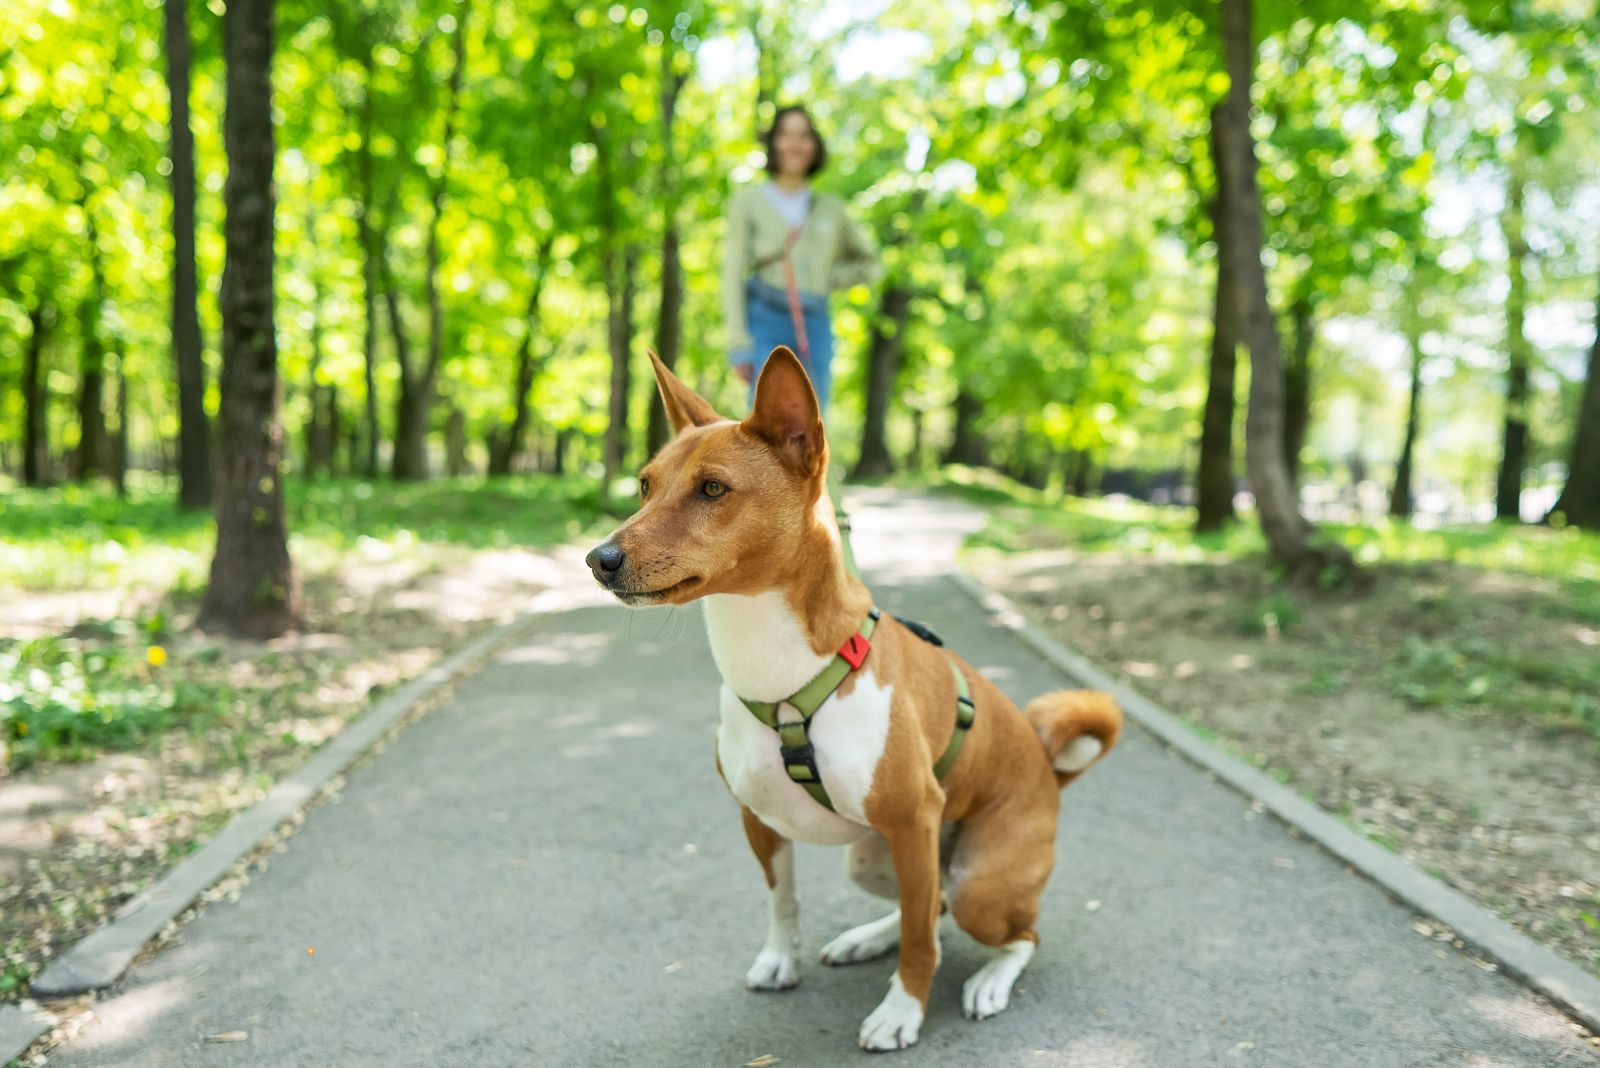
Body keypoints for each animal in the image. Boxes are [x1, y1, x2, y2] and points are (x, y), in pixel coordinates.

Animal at [588, 348, 1126, 1048]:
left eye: (712, 490)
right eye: (644, 486)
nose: (598, 558)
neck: (781, 675)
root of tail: (1047, 768)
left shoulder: (913, 819)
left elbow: (922, 943)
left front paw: (902, 1012)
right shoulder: (760, 820)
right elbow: (784, 900)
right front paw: (780, 960)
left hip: (976, 882)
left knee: (1006, 930)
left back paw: (988, 981)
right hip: (879, 859)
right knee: (928, 905)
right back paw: (865, 940)